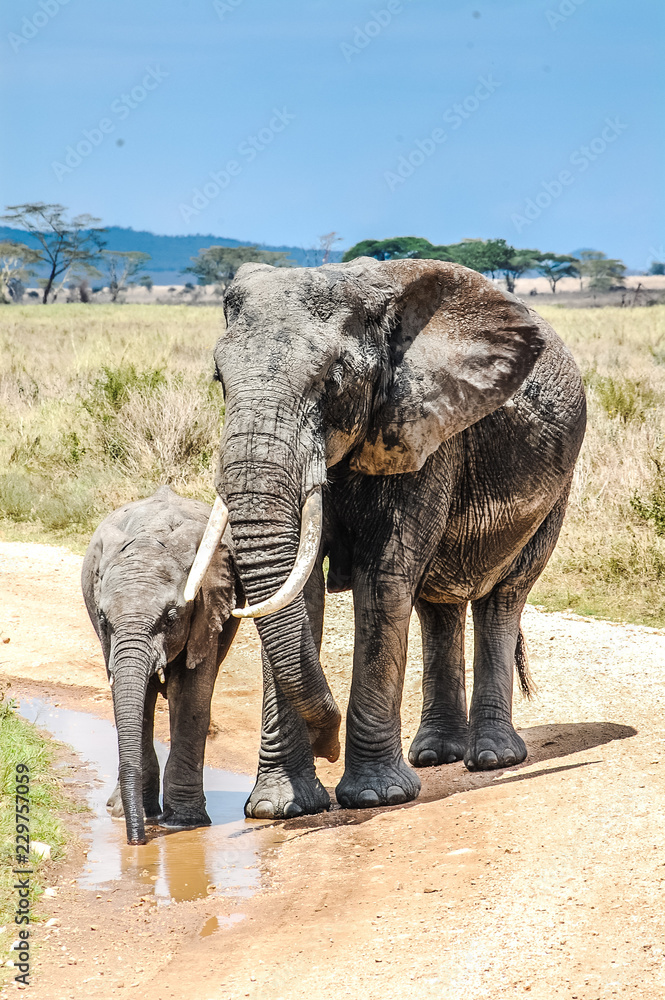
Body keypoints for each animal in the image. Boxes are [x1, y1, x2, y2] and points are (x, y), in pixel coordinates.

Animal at [81, 485, 240, 844]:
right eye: (104, 619)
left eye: (170, 618)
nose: (137, 841)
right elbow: (133, 699)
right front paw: (134, 814)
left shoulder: (207, 608)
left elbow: (192, 694)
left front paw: (183, 822)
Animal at [186, 257, 586, 819]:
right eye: (219, 379)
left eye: (332, 380)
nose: (327, 743)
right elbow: (297, 589)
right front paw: (281, 809)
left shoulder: (423, 428)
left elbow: (383, 577)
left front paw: (377, 798)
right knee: (437, 605)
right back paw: (438, 754)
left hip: (557, 488)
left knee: (503, 596)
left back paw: (493, 759)